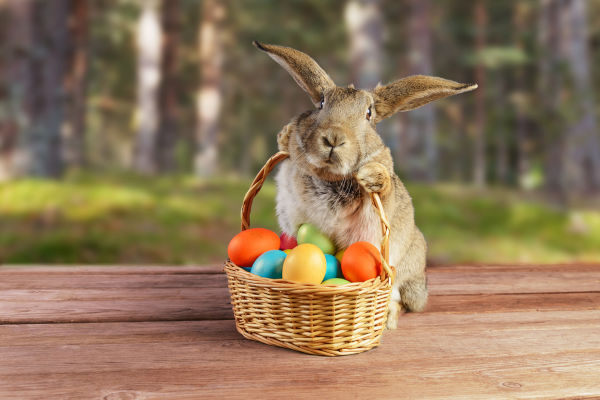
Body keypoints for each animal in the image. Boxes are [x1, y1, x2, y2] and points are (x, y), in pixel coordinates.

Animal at [254, 41, 478, 328]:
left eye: (368, 114)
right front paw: (285, 135)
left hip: (405, 274)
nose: (333, 138)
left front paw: (372, 176)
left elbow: (383, 189)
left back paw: (389, 319)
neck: (330, 175)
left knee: (400, 301)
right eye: (322, 103)